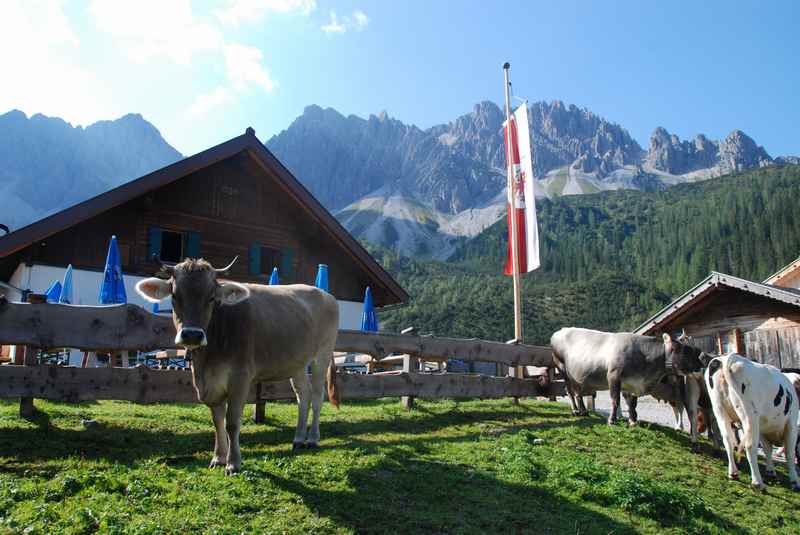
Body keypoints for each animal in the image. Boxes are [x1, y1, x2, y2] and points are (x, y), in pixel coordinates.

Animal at [136, 258, 340, 476]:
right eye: (175, 296)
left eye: (211, 298)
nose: (192, 335)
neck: (208, 358)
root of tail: (325, 294)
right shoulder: (209, 383)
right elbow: (217, 421)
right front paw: (218, 458)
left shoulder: (240, 377)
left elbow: (232, 422)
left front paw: (233, 463)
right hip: (297, 363)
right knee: (303, 395)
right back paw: (299, 438)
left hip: (322, 354)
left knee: (317, 397)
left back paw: (313, 439)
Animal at [552, 326, 708, 428]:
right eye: (685, 350)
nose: (701, 360)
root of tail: (560, 331)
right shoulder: (613, 376)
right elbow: (615, 400)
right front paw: (612, 420)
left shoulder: (632, 383)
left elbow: (632, 403)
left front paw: (633, 420)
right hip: (562, 368)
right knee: (570, 391)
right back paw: (575, 410)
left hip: (577, 376)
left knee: (578, 393)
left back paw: (583, 410)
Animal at [708, 354, 800, 492]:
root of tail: (727, 358)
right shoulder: (791, 424)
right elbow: (789, 452)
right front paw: (795, 481)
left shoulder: (763, 427)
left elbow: (767, 449)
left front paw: (770, 471)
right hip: (749, 415)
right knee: (750, 446)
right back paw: (757, 482)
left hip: (719, 410)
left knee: (728, 440)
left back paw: (733, 473)